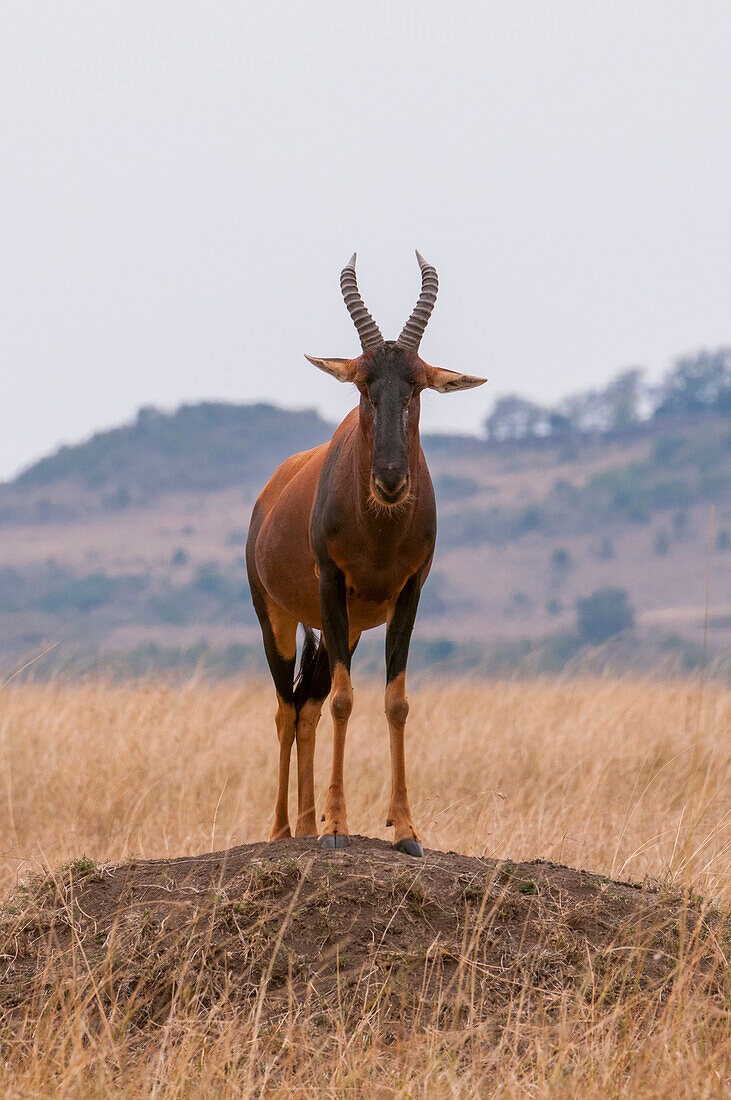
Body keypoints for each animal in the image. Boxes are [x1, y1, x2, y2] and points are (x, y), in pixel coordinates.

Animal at [245, 253, 483, 853]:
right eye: (362, 387)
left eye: (418, 387)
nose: (391, 480)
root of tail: (269, 492)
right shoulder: (331, 585)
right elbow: (344, 701)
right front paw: (338, 829)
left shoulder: (409, 595)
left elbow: (394, 702)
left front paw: (406, 830)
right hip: (278, 617)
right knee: (286, 707)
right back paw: (285, 831)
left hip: (344, 628)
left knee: (307, 707)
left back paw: (308, 826)